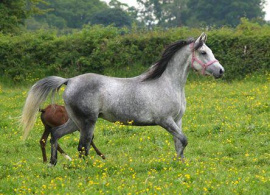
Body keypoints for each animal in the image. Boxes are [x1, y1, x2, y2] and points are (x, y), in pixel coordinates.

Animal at [20, 32, 224, 165]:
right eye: (203, 52)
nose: (221, 71)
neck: (168, 83)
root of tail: (69, 81)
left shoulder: (177, 120)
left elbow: (179, 142)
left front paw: (180, 164)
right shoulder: (165, 120)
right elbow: (184, 140)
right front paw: (177, 163)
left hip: (75, 121)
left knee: (56, 135)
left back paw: (53, 163)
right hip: (87, 122)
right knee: (83, 146)